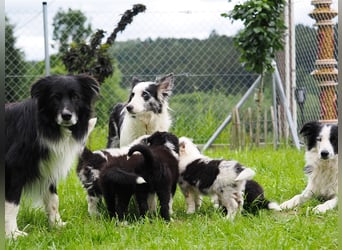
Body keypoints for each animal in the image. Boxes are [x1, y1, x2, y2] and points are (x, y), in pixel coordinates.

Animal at [5, 74, 99, 238]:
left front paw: (57, 225)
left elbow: (53, 199)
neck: (47, 126)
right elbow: (12, 204)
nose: (66, 116)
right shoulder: (13, 168)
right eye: (55, 97)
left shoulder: (49, 166)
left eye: (76, 97)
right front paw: (13, 235)